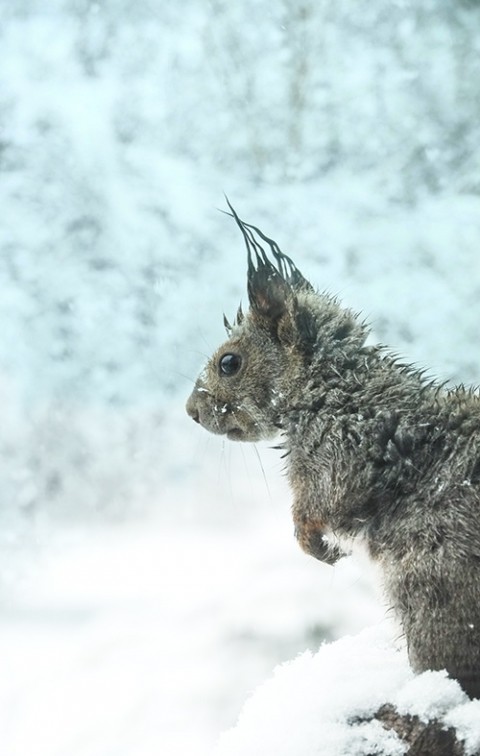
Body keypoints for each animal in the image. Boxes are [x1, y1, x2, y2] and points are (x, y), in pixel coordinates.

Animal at [186, 201, 480, 696]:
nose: (191, 411)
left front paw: (313, 544)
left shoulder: (337, 447)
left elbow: (323, 500)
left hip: (432, 594)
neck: (330, 384)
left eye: (229, 362)